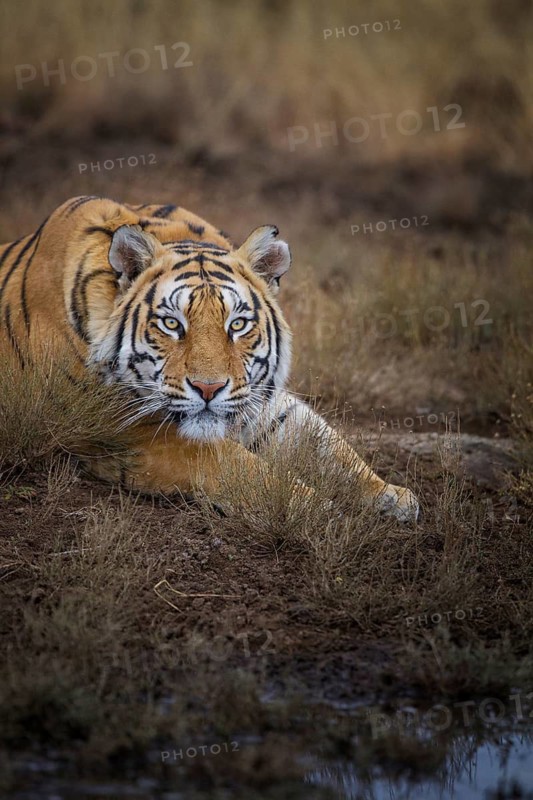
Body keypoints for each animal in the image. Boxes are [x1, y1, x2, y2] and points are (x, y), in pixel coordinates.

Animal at [0, 196, 419, 521]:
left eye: (237, 324)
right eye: (171, 323)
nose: (208, 388)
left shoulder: (262, 403)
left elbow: (330, 447)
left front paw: (393, 495)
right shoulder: (124, 430)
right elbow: (237, 465)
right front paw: (317, 508)